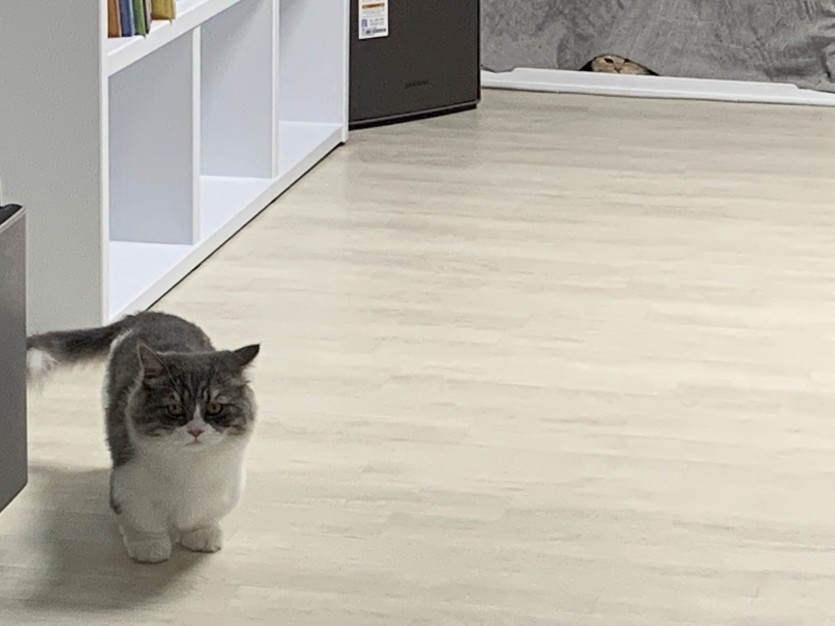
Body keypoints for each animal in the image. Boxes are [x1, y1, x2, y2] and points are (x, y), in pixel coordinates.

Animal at [27, 311, 260, 564]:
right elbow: (142, 521)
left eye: (215, 407)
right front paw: (149, 546)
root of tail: (149, 314)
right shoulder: (129, 483)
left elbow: (203, 515)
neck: (189, 468)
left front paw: (201, 534)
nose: (195, 430)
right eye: (174, 408)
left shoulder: (223, 486)